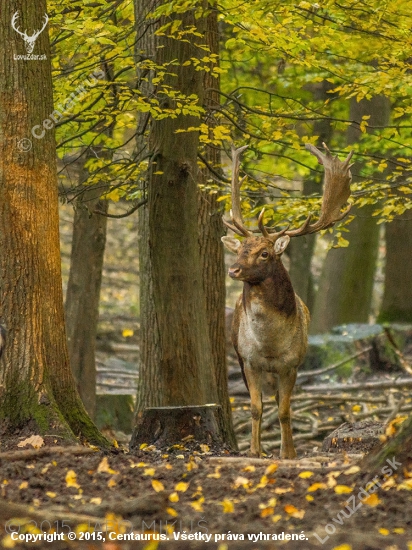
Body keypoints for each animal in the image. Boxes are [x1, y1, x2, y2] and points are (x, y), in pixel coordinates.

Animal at [222, 143, 354, 462]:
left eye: (265, 253)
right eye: (241, 248)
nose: (233, 269)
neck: (269, 345)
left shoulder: (292, 365)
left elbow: (283, 411)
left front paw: (289, 452)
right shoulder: (248, 361)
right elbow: (255, 408)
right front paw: (254, 451)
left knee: (281, 401)